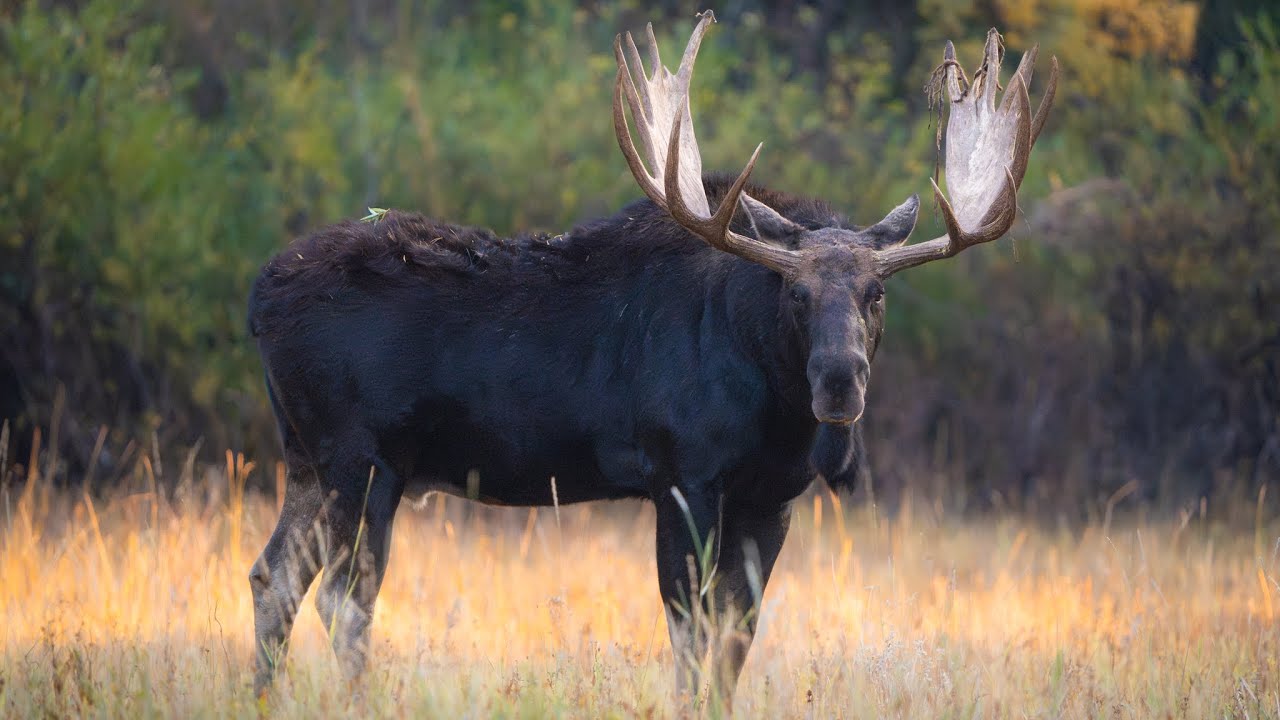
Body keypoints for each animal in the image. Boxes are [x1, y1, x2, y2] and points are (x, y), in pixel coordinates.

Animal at [246, 11, 1057, 706]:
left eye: (876, 292)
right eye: (793, 292)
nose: (839, 382)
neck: (771, 410)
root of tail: (258, 298)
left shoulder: (772, 496)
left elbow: (736, 637)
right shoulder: (682, 475)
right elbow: (689, 630)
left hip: (310, 460)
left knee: (272, 577)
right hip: (363, 460)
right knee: (344, 598)